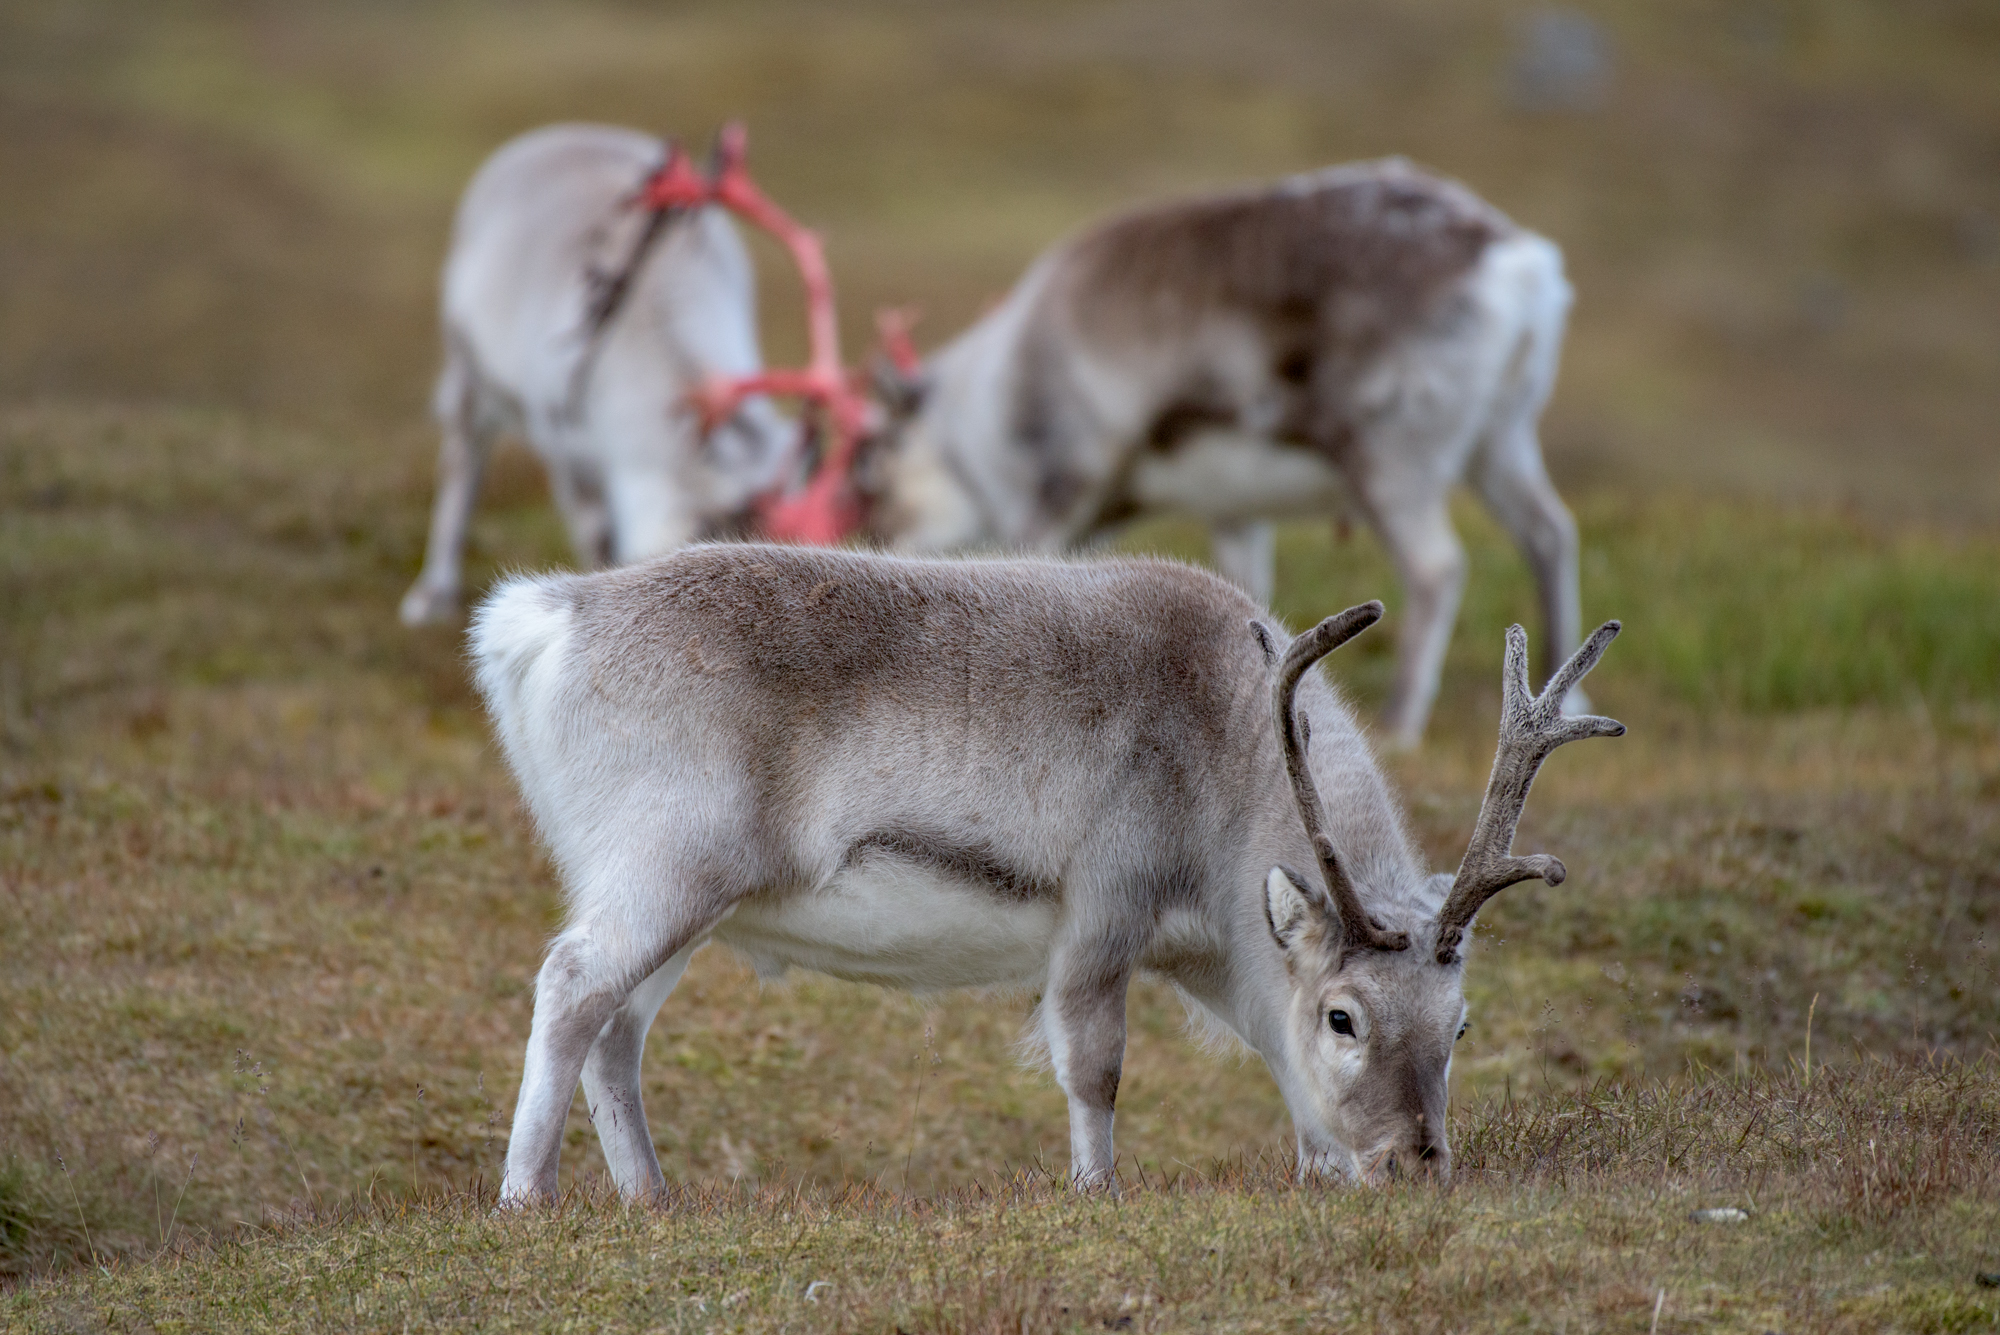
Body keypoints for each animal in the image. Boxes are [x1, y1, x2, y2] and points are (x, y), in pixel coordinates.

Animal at [398, 123, 793, 627]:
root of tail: (549, 135)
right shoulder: (567, 449)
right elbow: (598, 536)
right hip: (469, 368)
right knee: (461, 462)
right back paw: (434, 592)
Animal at [470, 542, 1622, 1202]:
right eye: (1345, 1016)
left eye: (1458, 1024)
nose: (1413, 1164)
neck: (1232, 755)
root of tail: (546, 618)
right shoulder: (1102, 909)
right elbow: (1093, 1067)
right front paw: (1095, 1192)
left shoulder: (1211, 956)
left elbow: (1270, 1057)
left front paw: (1321, 1174)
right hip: (667, 867)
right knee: (570, 986)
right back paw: (527, 1197)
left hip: (679, 898)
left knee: (617, 1027)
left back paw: (650, 1199)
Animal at [856, 159, 1587, 747]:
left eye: (871, 457)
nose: (873, 542)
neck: (991, 394)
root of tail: (1518, 265)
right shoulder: (1235, 515)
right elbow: (1250, 598)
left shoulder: (1064, 485)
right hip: (1502, 443)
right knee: (1550, 533)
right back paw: (1568, 695)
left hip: (1392, 462)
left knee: (1436, 568)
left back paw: (1400, 725)